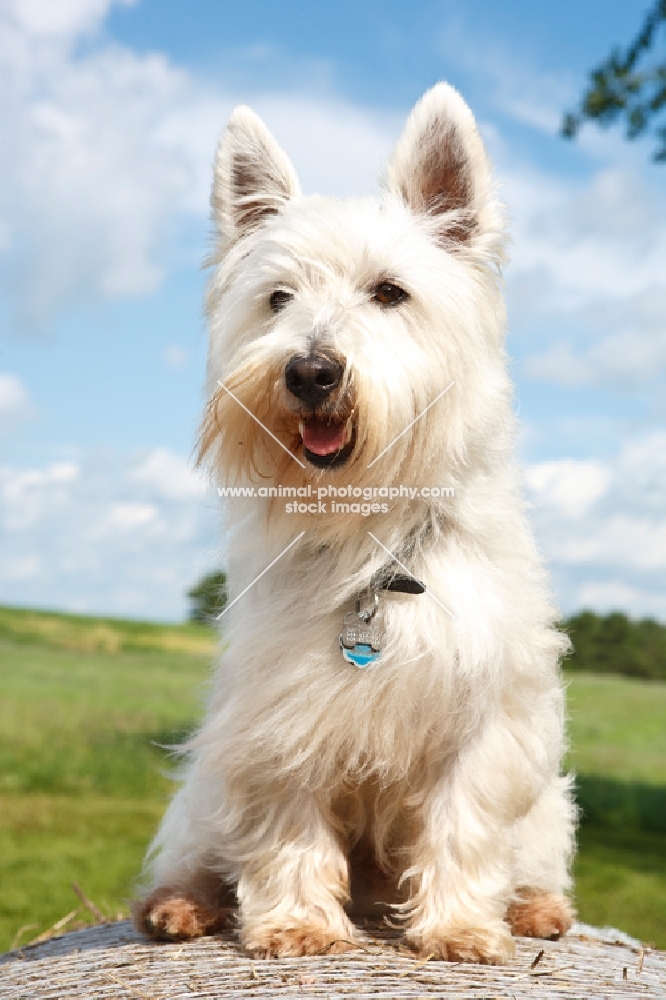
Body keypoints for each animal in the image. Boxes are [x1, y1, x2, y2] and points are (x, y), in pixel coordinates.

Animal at [135, 84, 576, 960]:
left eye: (390, 292)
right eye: (278, 298)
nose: (310, 371)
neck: (371, 533)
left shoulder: (486, 717)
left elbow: (465, 820)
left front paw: (458, 926)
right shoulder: (279, 715)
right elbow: (288, 822)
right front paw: (299, 922)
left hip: (549, 808)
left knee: (534, 856)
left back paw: (535, 908)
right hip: (206, 785)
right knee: (199, 850)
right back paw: (182, 904)